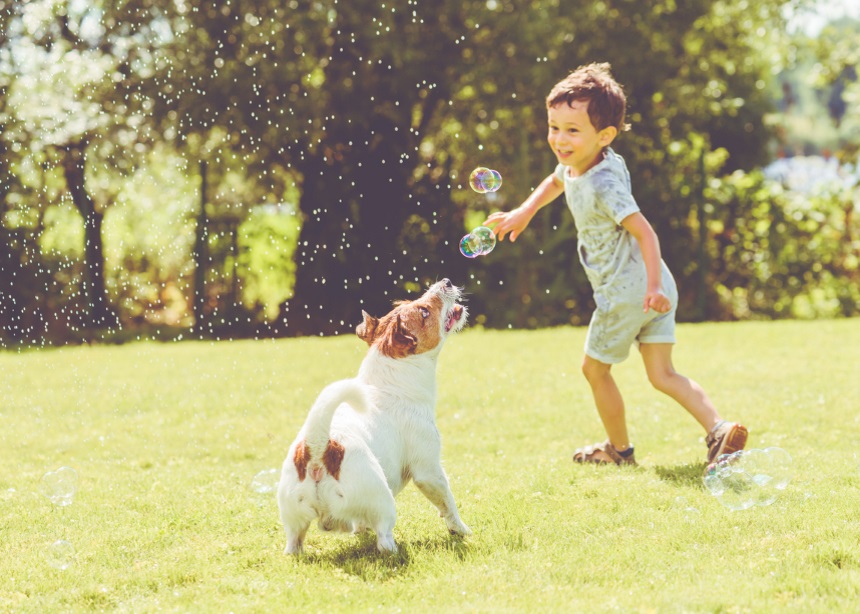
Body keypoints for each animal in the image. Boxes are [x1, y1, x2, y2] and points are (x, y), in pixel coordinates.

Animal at [278, 276, 470, 556]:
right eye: (423, 311)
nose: (446, 281)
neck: (388, 382)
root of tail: (319, 448)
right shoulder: (429, 470)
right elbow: (447, 502)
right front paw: (460, 529)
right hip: (383, 501)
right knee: (384, 538)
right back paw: (394, 550)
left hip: (293, 514)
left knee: (294, 542)